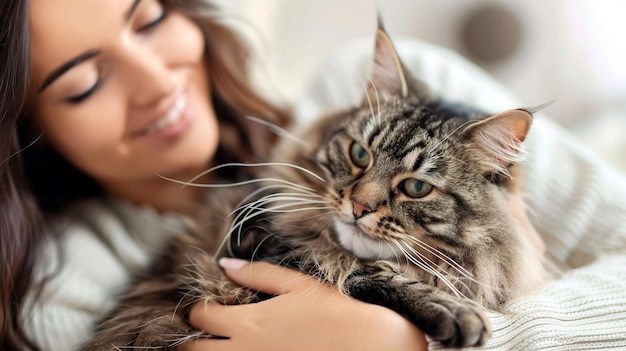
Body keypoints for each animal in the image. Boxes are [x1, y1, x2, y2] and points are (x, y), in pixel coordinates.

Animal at [81, 26, 544, 350]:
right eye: (359, 154)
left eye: (415, 187)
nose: (359, 207)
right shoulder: (255, 242)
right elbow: (362, 271)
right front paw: (455, 312)